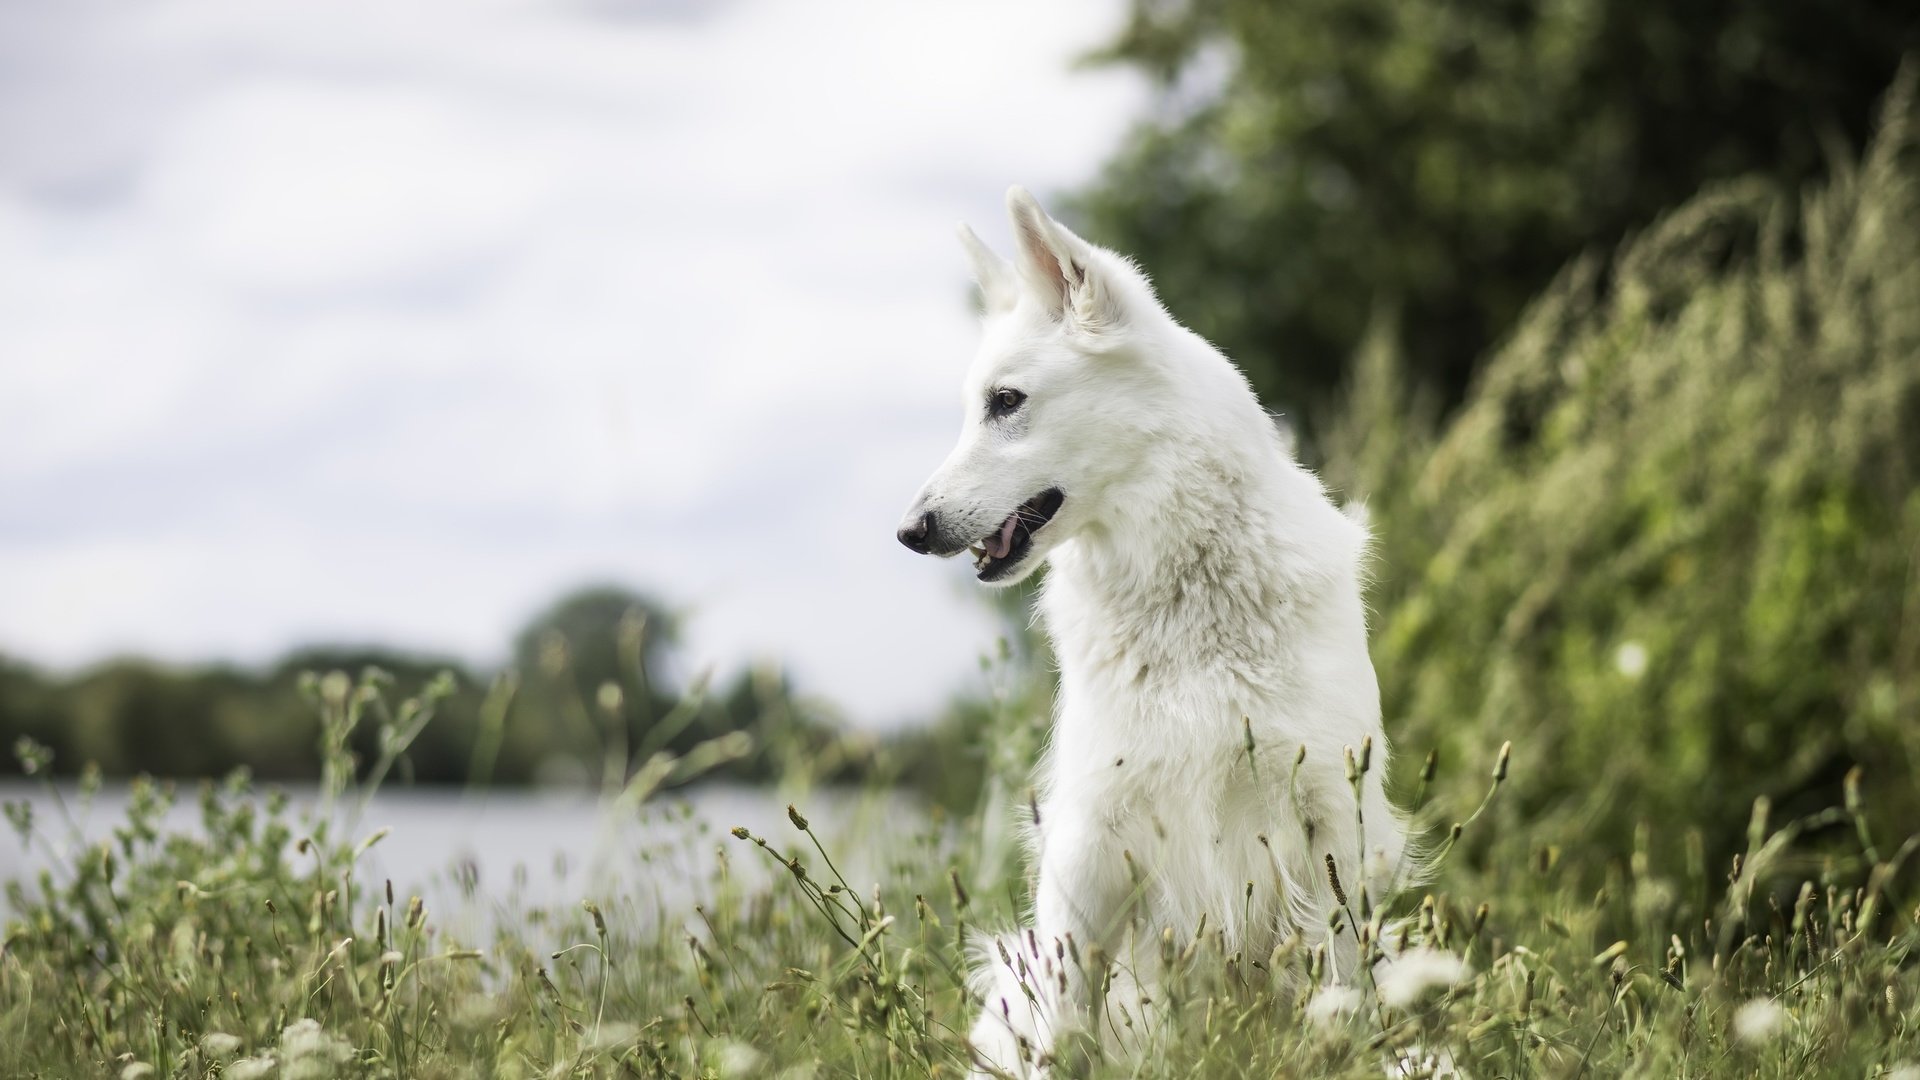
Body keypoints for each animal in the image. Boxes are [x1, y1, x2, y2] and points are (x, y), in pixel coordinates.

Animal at [898, 189, 1413, 1068]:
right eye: (977, 407)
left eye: (1007, 401)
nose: (908, 531)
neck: (1186, 595)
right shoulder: (1090, 844)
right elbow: (1068, 1029)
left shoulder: (1331, 822)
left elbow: (1343, 989)